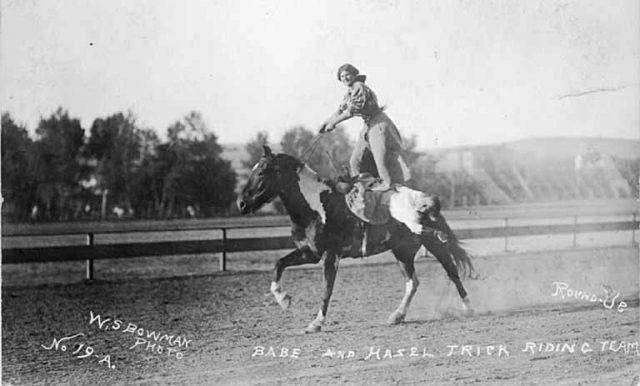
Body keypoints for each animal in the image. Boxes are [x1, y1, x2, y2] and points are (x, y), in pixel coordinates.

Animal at [238, 146, 472, 334]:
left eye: (262, 171)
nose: (241, 203)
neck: (316, 208)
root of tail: (424, 199)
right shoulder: (309, 253)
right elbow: (279, 265)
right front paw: (283, 299)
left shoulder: (330, 256)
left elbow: (327, 289)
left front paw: (316, 323)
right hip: (402, 252)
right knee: (412, 282)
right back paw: (397, 316)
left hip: (430, 244)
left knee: (451, 271)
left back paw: (468, 308)